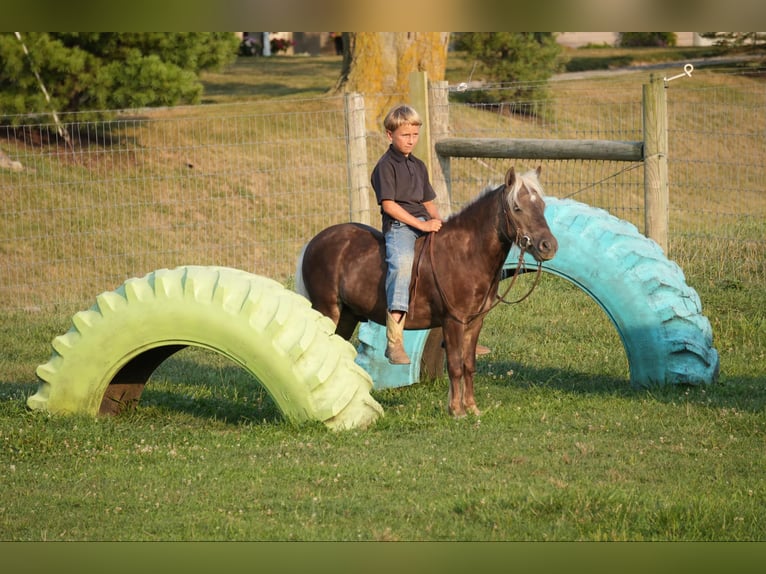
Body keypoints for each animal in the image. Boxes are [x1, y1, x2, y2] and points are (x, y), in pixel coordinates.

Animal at [296, 166, 560, 418]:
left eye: (542, 206)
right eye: (517, 208)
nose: (549, 246)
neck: (465, 254)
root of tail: (314, 243)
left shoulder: (475, 323)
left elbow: (468, 364)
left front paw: (471, 408)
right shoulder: (453, 321)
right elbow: (455, 365)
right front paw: (456, 411)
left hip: (347, 317)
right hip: (328, 311)